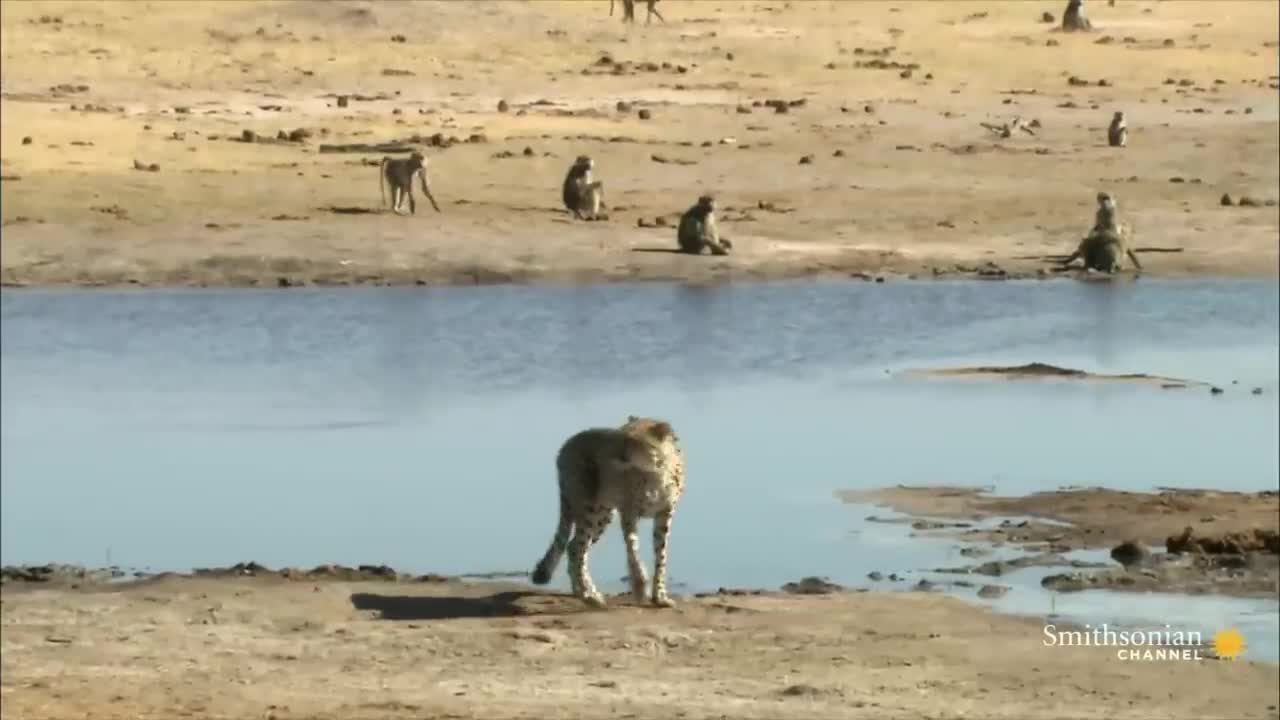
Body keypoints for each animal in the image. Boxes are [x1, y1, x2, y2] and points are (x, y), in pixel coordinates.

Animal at [529, 415, 691, 604]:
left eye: (633, 441)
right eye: (620, 437)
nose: (614, 455)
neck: (654, 471)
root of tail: (567, 443)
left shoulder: (664, 514)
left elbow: (661, 556)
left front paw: (660, 595)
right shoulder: (628, 512)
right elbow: (633, 550)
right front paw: (640, 586)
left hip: (603, 514)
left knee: (574, 547)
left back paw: (582, 591)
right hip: (590, 509)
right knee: (577, 548)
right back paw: (588, 594)